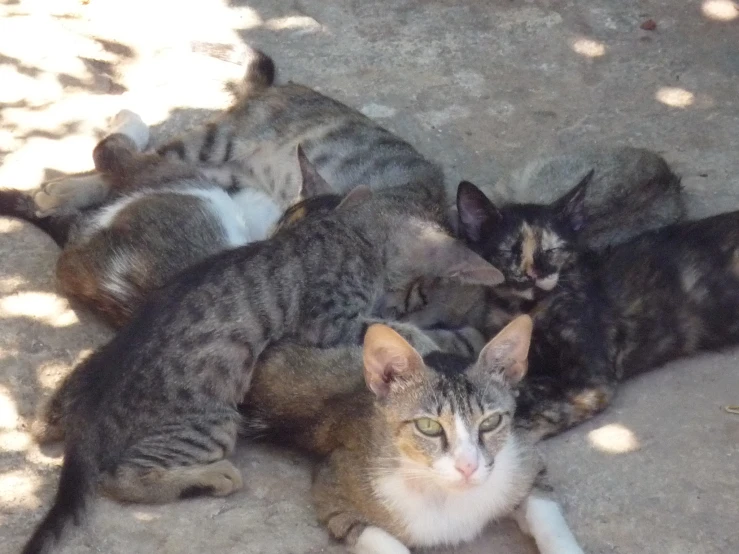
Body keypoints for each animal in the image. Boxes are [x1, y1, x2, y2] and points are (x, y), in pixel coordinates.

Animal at [241, 314, 584, 552]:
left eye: (490, 422)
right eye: (428, 427)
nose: (468, 466)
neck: (445, 495)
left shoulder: (526, 463)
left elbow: (547, 515)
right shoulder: (333, 492)